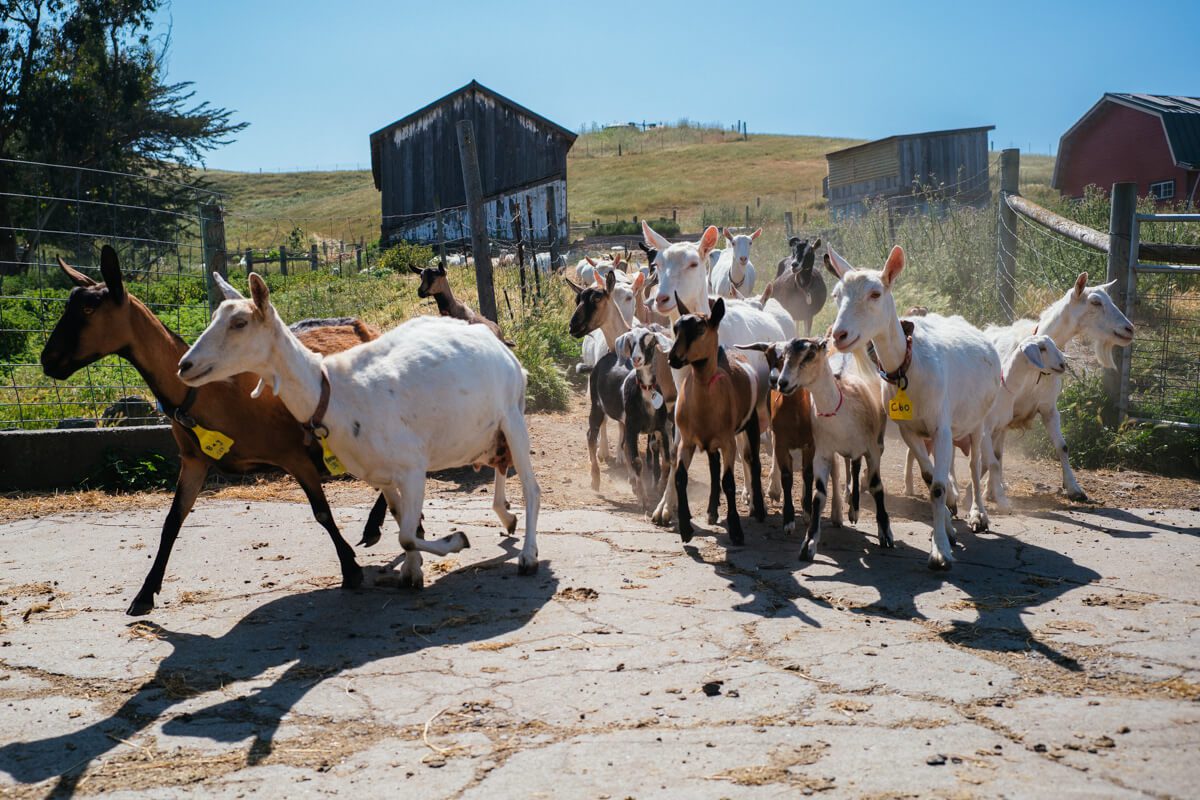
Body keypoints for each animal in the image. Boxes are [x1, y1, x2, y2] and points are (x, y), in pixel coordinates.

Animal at [41, 247, 379, 618]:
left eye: (89, 309)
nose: (48, 360)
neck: (210, 392)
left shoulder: (293, 455)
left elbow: (322, 512)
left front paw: (351, 569)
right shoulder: (194, 461)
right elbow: (172, 521)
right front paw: (144, 594)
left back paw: (375, 527)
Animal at [180, 273, 542, 582]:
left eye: (239, 323)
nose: (185, 365)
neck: (332, 392)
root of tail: (498, 344)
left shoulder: (412, 467)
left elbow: (407, 534)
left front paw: (457, 540)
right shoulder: (380, 475)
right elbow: (401, 522)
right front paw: (412, 572)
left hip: (512, 416)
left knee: (531, 487)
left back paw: (528, 556)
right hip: (491, 431)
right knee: (500, 464)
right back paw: (506, 517)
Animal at [667, 293, 768, 544]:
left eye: (700, 329)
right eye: (676, 327)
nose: (673, 358)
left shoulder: (728, 441)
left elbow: (729, 482)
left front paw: (737, 530)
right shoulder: (687, 440)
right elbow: (681, 476)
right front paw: (685, 528)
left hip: (750, 423)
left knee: (754, 461)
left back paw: (759, 510)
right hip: (711, 441)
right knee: (714, 466)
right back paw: (712, 511)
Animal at [825, 245, 1003, 568]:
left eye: (875, 294)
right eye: (836, 294)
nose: (839, 335)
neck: (909, 364)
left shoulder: (942, 427)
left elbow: (938, 485)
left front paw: (940, 551)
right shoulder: (910, 430)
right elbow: (931, 477)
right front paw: (946, 529)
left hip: (978, 420)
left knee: (974, 465)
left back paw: (978, 514)